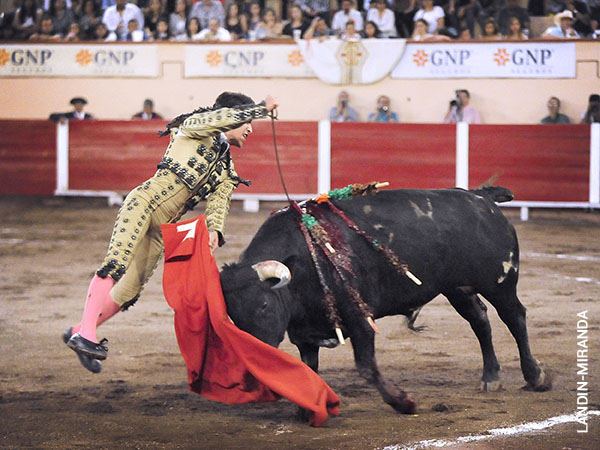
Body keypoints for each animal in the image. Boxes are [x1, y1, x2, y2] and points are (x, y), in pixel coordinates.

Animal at [220, 186, 551, 416]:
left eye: (264, 305)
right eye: (233, 316)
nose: (254, 368)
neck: (306, 260)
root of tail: (480, 197)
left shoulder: (360, 318)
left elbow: (367, 367)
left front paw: (403, 402)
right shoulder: (305, 334)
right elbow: (309, 369)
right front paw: (307, 409)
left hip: (500, 282)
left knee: (514, 318)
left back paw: (536, 377)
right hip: (457, 288)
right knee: (480, 321)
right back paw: (491, 377)